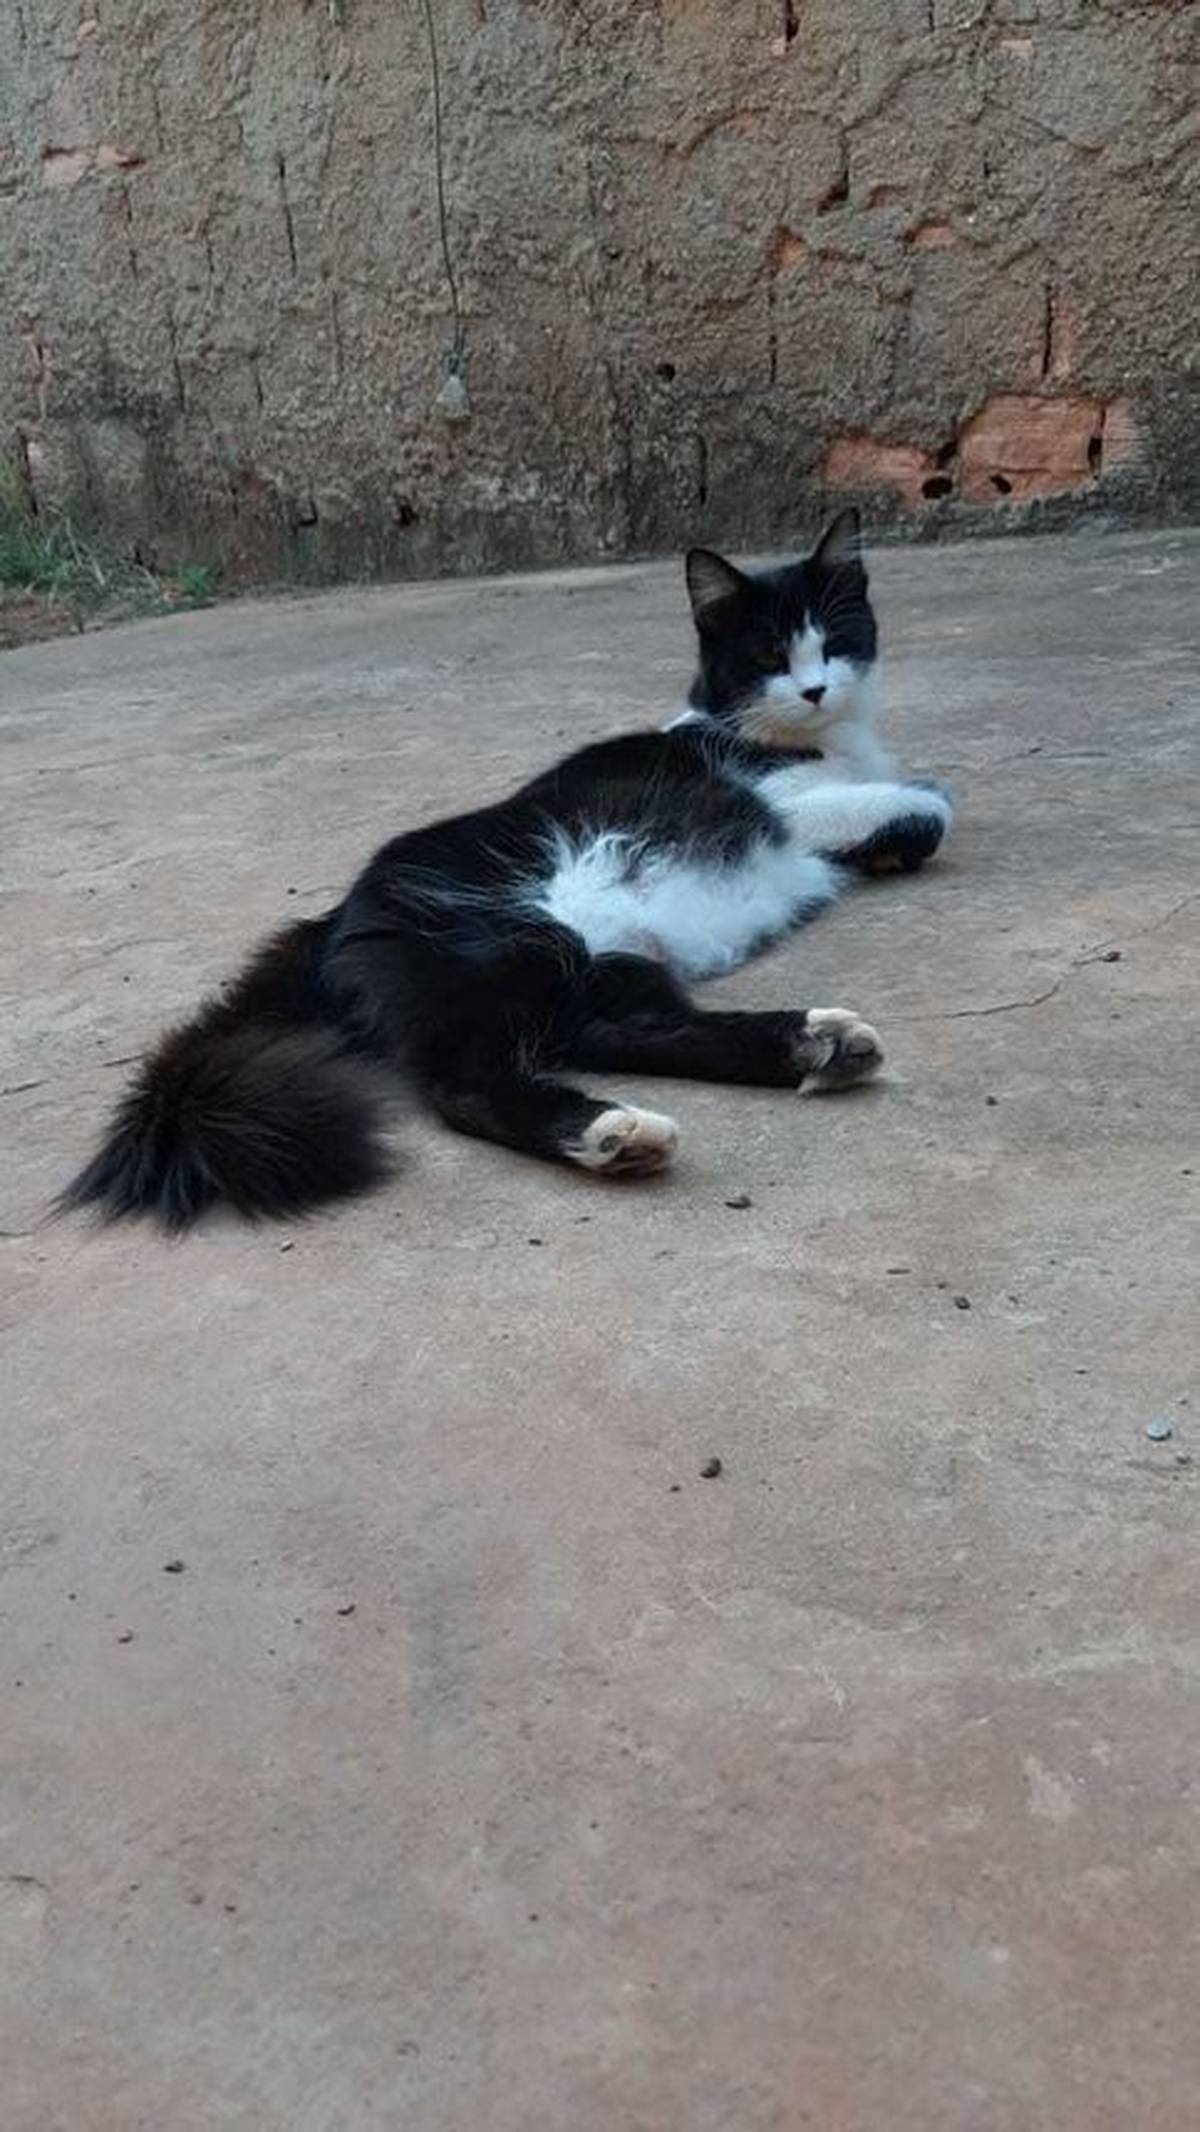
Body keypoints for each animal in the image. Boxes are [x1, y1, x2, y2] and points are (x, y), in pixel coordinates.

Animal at [61, 507, 952, 1231]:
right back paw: (610, 1135)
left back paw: (811, 1046)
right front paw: (902, 821)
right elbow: (930, 802)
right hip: (514, 937)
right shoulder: (782, 800)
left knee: (623, 1031)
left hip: (605, 966)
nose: (814, 690)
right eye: (768, 653)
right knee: (468, 1081)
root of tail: (330, 920)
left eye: (835, 641)